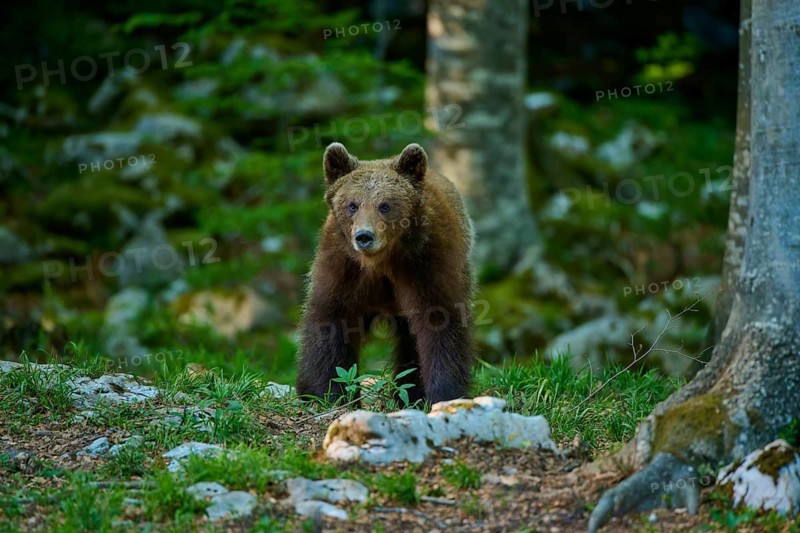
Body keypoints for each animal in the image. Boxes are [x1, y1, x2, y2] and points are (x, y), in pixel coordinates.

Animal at [296, 142, 475, 406]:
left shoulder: (426, 264)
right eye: (352, 204)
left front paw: (444, 392)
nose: (364, 236)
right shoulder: (342, 268)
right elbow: (330, 320)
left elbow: (440, 321)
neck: (380, 263)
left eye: (385, 205)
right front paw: (325, 392)